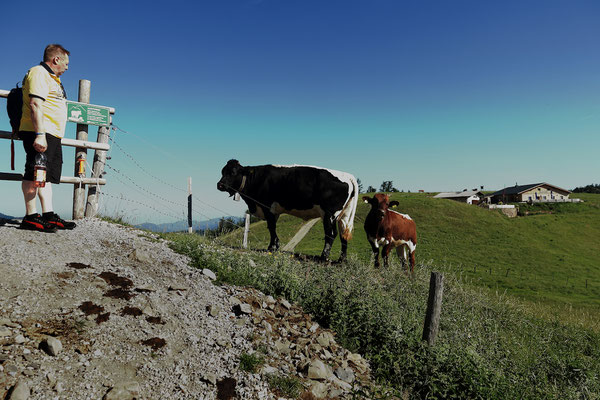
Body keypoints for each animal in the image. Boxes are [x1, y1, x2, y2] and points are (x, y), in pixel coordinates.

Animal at [218, 159, 358, 262]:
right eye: (223, 171)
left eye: (233, 172)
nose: (219, 185)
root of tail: (347, 175)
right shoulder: (274, 211)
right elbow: (272, 228)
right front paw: (275, 246)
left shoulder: (267, 207)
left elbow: (271, 227)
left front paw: (272, 247)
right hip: (343, 215)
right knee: (343, 234)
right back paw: (342, 259)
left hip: (329, 214)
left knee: (331, 234)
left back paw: (324, 257)